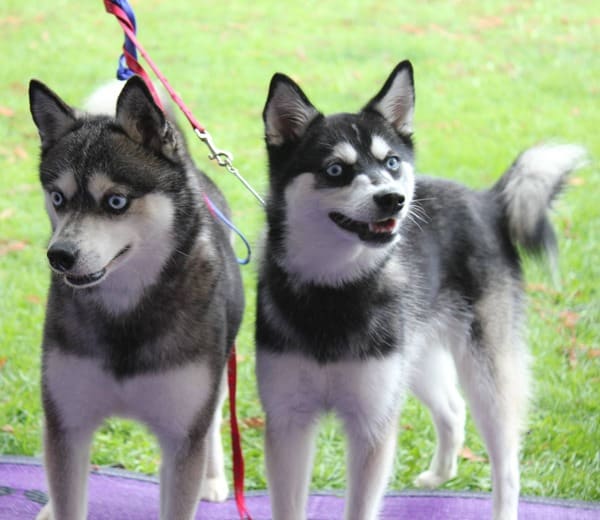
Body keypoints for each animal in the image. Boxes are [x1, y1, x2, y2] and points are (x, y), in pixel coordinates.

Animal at [28, 74, 244, 520]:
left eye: (116, 201)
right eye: (58, 198)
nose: (59, 256)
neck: (126, 308)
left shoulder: (182, 432)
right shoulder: (66, 422)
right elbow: (69, 490)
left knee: (214, 420)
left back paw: (214, 479)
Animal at [255, 59, 588, 516]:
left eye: (392, 162)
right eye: (335, 170)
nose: (392, 198)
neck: (335, 290)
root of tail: (487, 201)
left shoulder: (372, 424)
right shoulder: (288, 421)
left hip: (486, 374)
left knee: (506, 463)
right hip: (415, 353)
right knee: (451, 407)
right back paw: (440, 474)